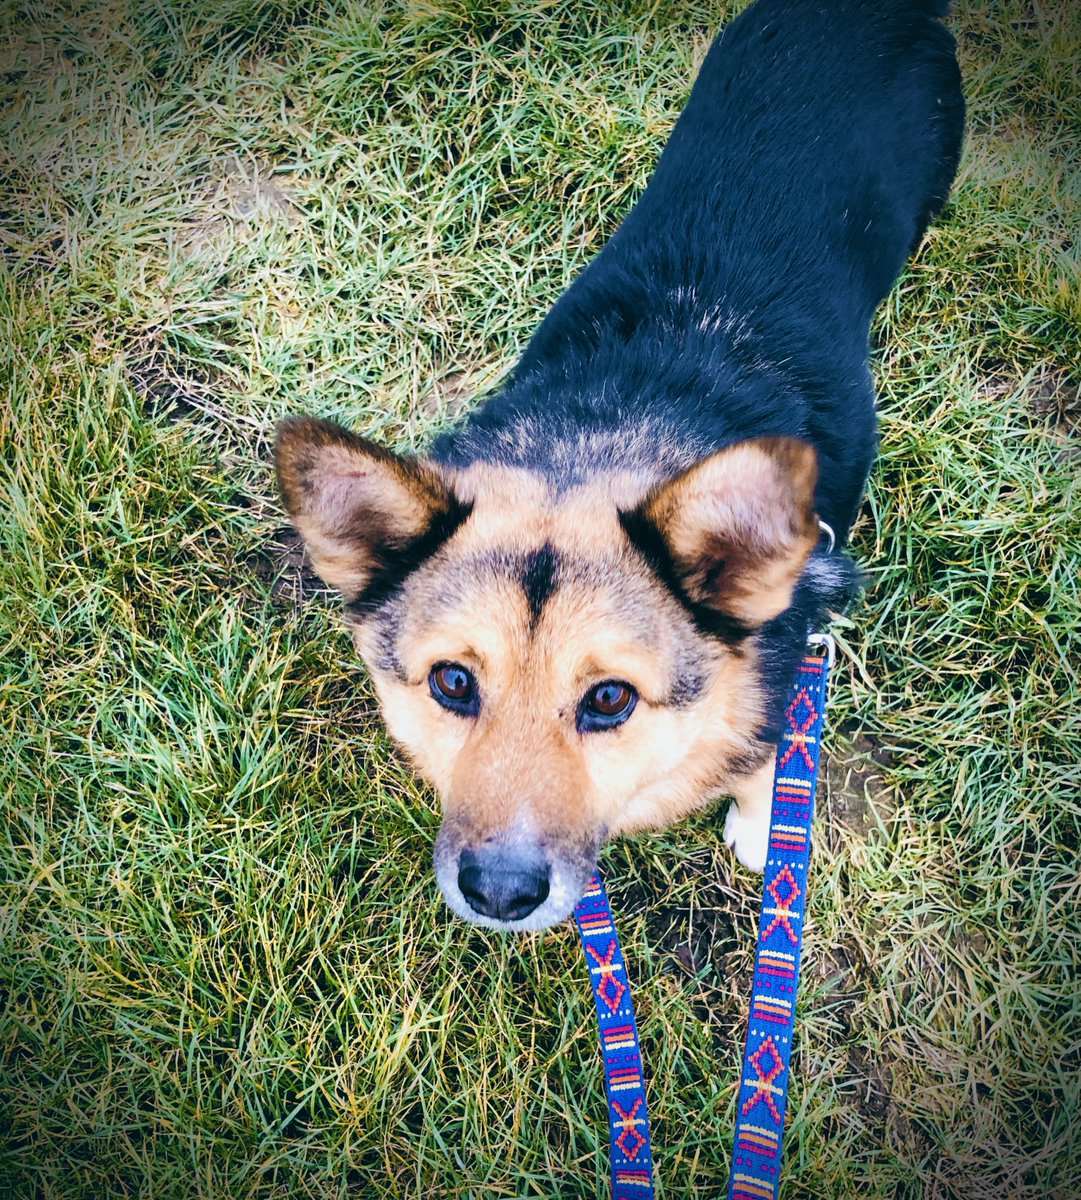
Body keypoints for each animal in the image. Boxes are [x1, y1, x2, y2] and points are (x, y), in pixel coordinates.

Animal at [275, 0, 964, 931]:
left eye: (609, 700)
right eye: (452, 683)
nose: (500, 895)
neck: (593, 442)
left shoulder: (784, 672)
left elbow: (763, 759)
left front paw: (761, 824)